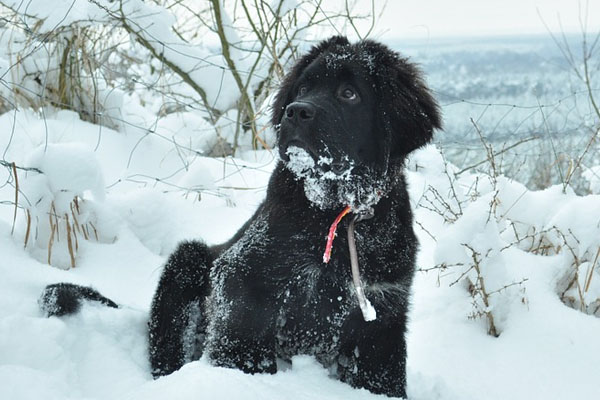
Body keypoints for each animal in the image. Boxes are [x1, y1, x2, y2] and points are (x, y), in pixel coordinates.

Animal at [38, 36, 440, 396]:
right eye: (304, 87)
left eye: (349, 94)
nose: (296, 110)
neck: (333, 215)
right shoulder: (242, 277)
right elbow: (242, 343)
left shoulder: (383, 312)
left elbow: (382, 376)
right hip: (186, 264)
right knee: (166, 350)